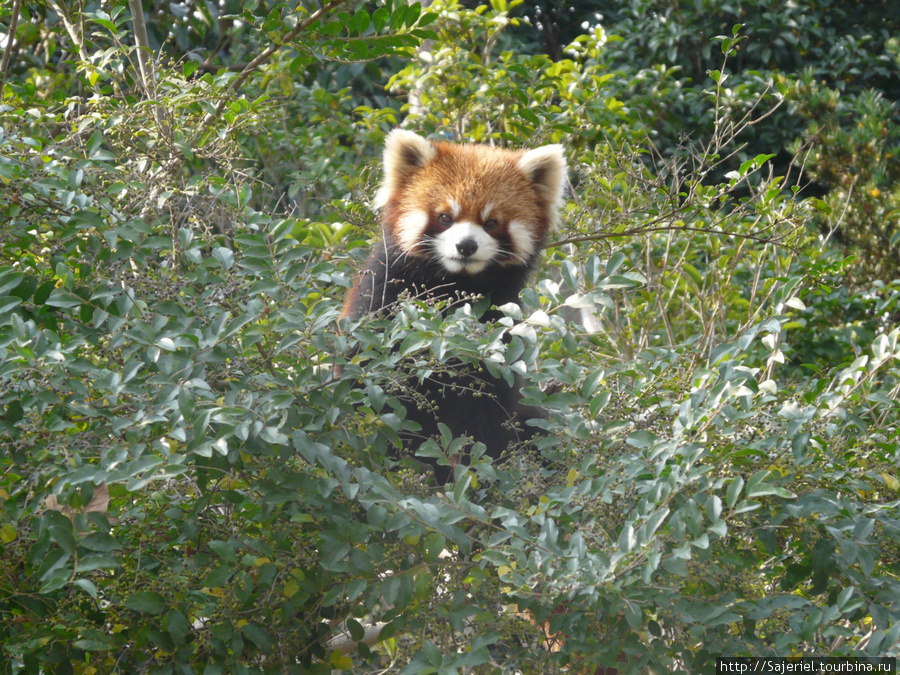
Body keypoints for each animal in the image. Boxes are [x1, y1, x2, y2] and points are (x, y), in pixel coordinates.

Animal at [342, 129, 568, 484]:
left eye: (491, 223)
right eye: (446, 217)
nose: (466, 245)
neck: (454, 283)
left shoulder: (498, 323)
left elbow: (491, 407)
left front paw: (484, 470)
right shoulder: (382, 294)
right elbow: (364, 374)